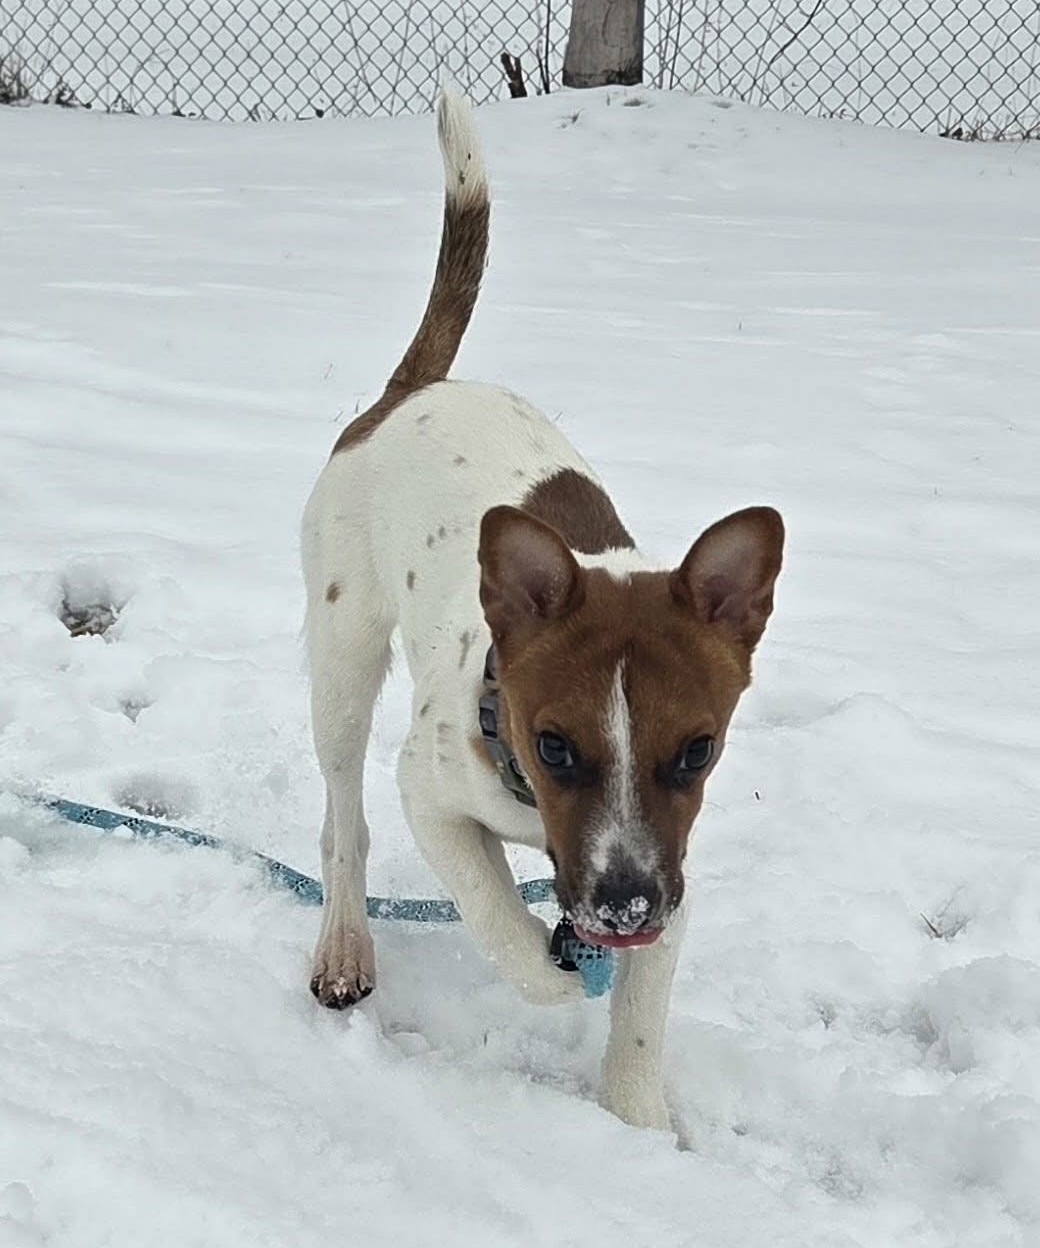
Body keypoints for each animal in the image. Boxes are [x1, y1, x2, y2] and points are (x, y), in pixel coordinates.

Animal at [301, 91, 784, 1131]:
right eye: (555, 747)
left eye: (699, 751)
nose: (624, 911)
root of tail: (414, 389)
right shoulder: (430, 791)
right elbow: (494, 913)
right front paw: (551, 970)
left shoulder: (675, 870)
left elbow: (639, 1026)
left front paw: (636, 1126)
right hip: (342, 655)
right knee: (344, 823)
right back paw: (345, 942)